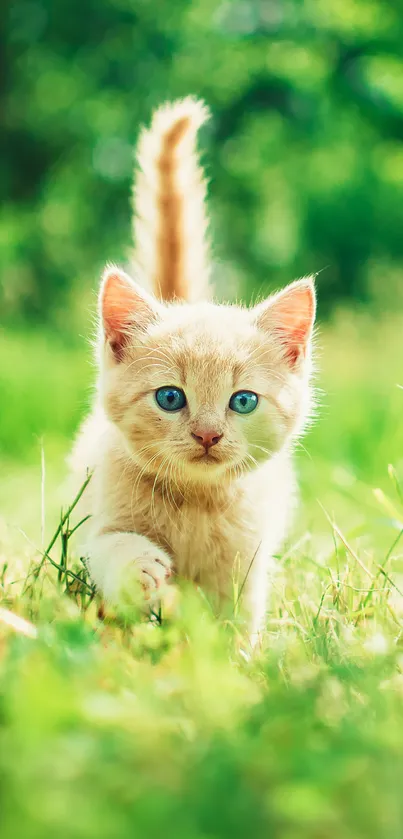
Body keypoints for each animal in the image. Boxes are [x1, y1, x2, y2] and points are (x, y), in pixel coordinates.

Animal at [71, 95, 318, 640]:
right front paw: (139, 566)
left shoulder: (247, 562)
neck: (195, 503)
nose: (207, 435)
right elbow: (107, 547)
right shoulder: (93, 523)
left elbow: (235, 620)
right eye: (170, 397)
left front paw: (233, 658)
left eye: (242, 401)